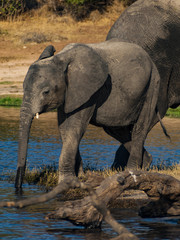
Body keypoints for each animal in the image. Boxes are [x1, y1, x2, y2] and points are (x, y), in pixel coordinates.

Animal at [14, 39, 160, 189]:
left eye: (46, 92)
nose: (18, 187)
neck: (61, 59)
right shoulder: (70, 93)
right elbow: (64, 129)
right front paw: (80, 176)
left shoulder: (89, 92)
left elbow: (74, 128)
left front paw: (66, 182)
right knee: (117, 129)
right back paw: (145, 164)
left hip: (152, 84)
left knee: (140, 128)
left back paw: (132, 172)